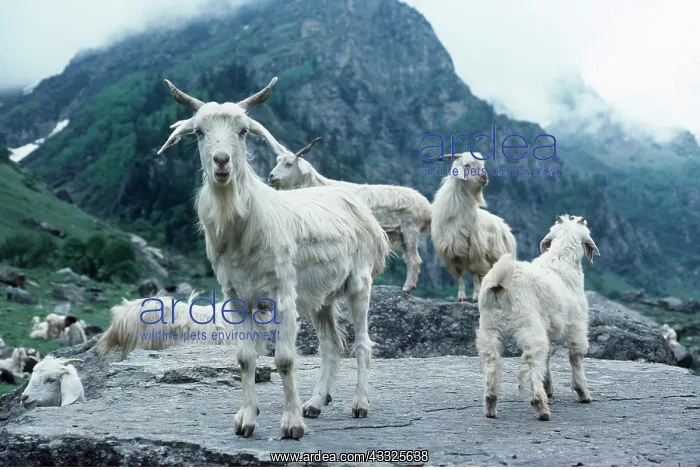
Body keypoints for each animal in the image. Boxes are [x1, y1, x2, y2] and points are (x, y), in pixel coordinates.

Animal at [153, 77, 390, 440]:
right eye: (199, 132)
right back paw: (316, 403)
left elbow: (285, 360)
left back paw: (359, 404)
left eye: (242, 131)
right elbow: (246, 358)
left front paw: (291, 424)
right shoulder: (237, 297)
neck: (245, 225)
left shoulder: (284, 293)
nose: (221, 162)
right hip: (320, 296)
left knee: (362, 343)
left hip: (359, 283)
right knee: (331, 344)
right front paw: (247, 419)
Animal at [268, 137, 431, 294]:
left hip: (410, 230)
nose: (271, 176)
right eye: (278, 161)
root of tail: (427, 207)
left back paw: (407, 288)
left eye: (289, 164)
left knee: (414, 259)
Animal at [431, 152, 517, 302]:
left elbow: (474, 274)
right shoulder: (450, 252)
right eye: (466, 165)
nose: (484, 177)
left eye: (482, 165)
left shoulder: (474, 249)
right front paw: (461, 296)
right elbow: (459, 276)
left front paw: (476, 295)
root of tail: (504, 225)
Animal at [476, 215, 600, 421]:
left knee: (492, 360)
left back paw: (491, 404)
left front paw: (548, 386)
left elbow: (548, 357)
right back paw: (540, 405)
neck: (560, 261)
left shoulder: (548, 327)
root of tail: (498, 284)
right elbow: (575, 356)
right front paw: (582, 392)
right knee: (530, 360)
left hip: (489, 327)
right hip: (528, 324)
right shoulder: (577, 324)